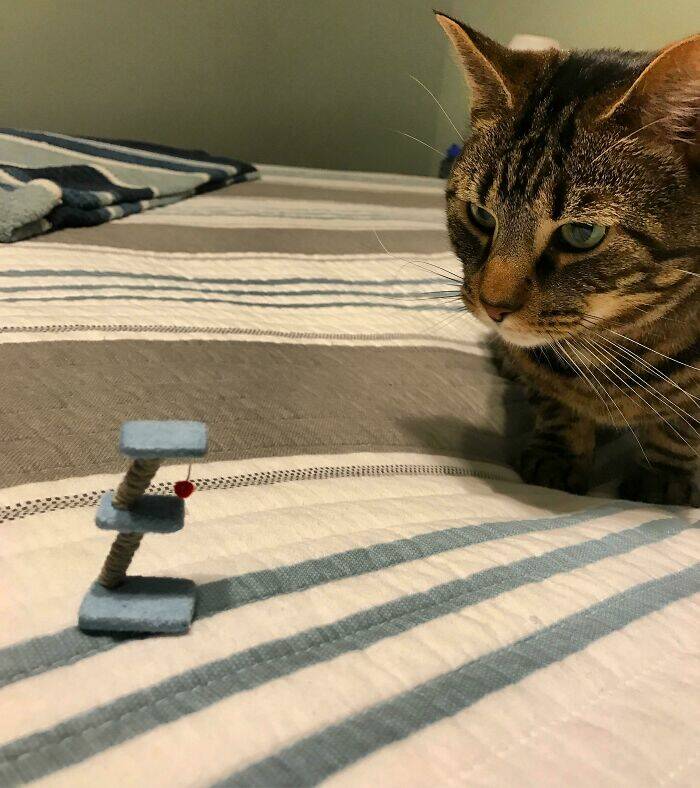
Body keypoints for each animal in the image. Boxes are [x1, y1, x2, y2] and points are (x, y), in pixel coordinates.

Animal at [435, 12, 699, 505]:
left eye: (581, 234)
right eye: (481, 215)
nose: (493, 309)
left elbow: (680, 429)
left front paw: (663, 479)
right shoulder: (544, 374)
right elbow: (556, 403)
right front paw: (557, 455)